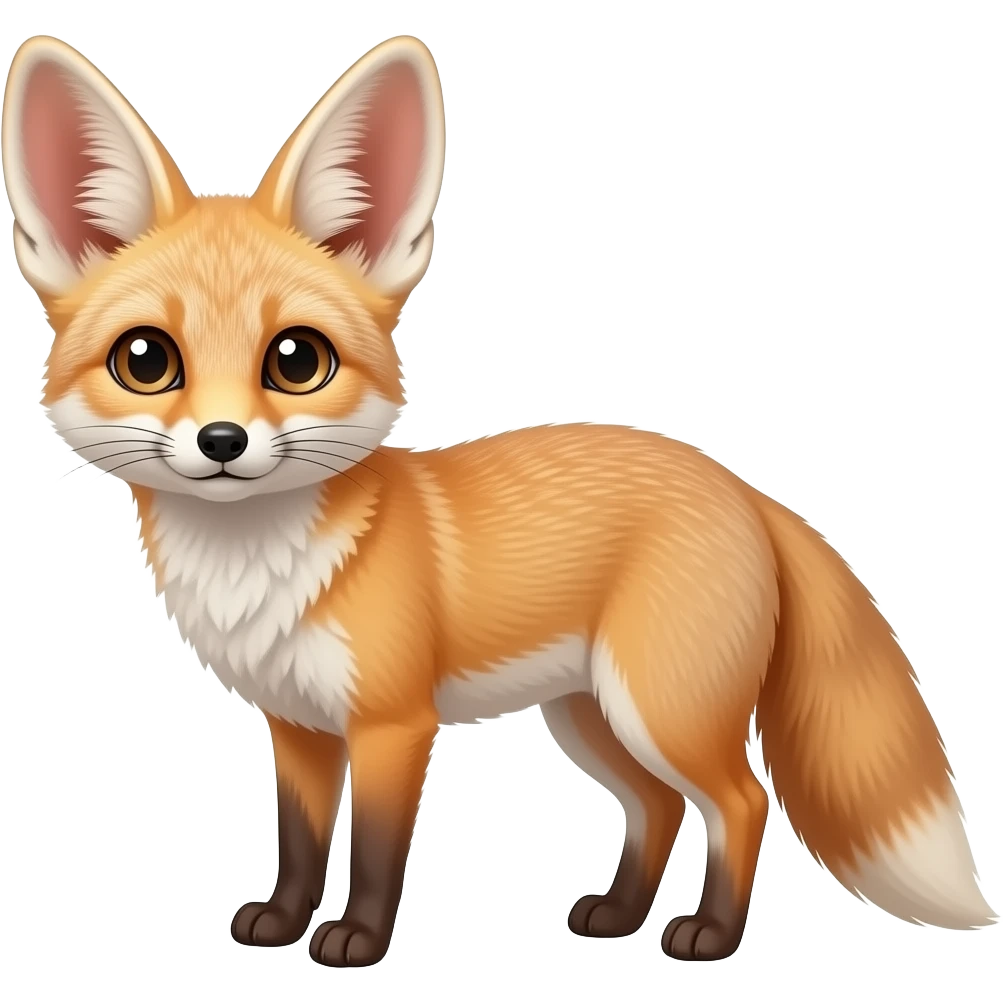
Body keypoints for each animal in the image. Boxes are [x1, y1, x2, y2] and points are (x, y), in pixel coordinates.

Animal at [6, 32, 999, 968]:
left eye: (295, 360)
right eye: (146, 360)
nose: (221, 442)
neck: (262, 572)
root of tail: (740, 487)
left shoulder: (394, 724)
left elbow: (375, 849)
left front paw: (356, 939)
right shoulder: (297, 726)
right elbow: (298, 842)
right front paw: (281, 924)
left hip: (660, 710)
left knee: (742, 800)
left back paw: (708, 935)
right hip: (591, 717)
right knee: (659, 806)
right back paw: (617, 916)